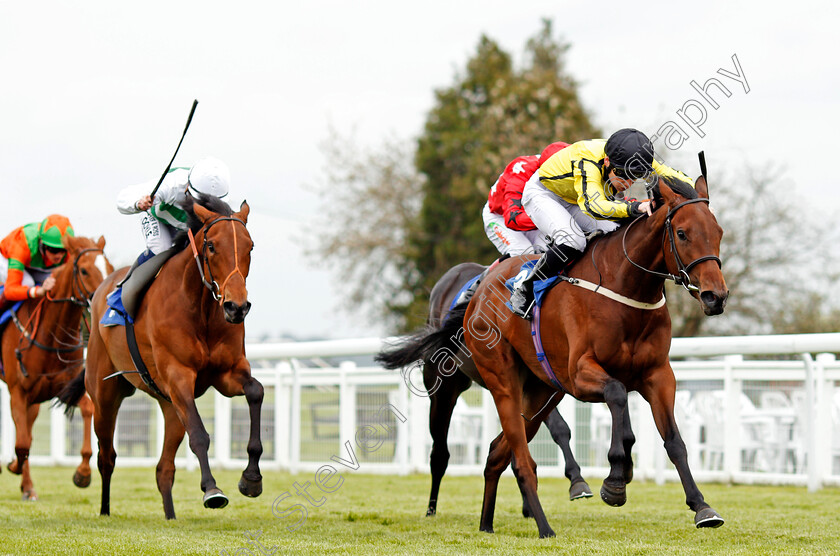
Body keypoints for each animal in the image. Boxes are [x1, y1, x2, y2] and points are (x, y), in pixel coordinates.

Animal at [0, 235, 111, 500]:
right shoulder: (17, 391)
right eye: (84, 270)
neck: (51, 336)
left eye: (109, 266)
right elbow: (22, 444)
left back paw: (28, 487)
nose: (105, 298)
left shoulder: (65, 387)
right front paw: (12, 465)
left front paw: (83, 473)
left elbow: (88, 410)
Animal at [57, 194, 260, 516]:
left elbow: (256, 391)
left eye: (250, 246)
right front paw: (212, 490)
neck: (200, 308)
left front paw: (251, 478)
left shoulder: (227, 374)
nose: (236, 307)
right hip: (105, 396)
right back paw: (104, 510)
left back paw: (171, 516)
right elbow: (199, 434)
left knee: (164, 469)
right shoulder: (178, 376)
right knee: (107, 457)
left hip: (170, 405)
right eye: (212, 246)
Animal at [388, 260, 592, 516]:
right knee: (440, 453)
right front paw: (576, 482)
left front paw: (571, 483)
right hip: (444, 387)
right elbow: (556, 427)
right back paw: (431, 509)